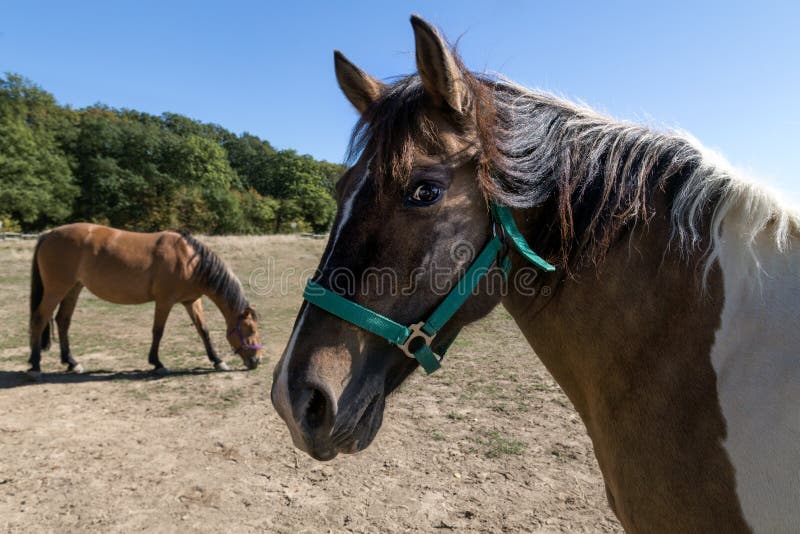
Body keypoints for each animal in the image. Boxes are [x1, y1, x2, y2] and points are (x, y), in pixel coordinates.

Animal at [28, 224, 262, 378]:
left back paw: (72, 363)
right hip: (56, 289)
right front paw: (157, 363)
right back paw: (36, 366)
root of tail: (48, 235)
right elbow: (158, 331)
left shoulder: (191, 301)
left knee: (62, 321)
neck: (189, 260)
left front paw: (218, 361)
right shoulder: (165, 301)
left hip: (73, 289)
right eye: (250, 329)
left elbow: (203, 330)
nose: (256, 360)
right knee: (39, 319)